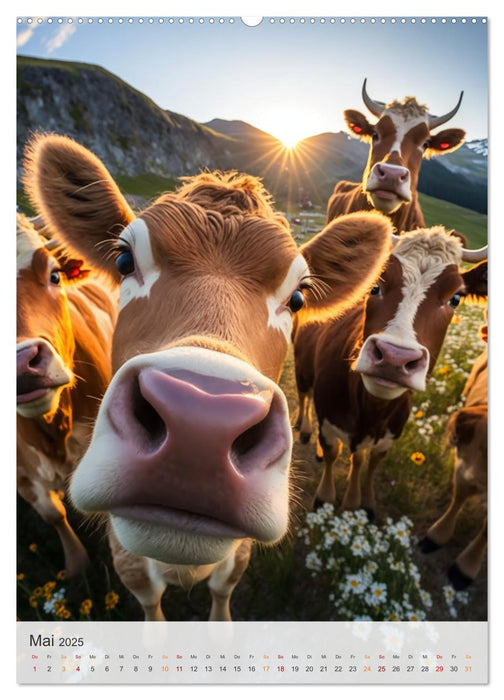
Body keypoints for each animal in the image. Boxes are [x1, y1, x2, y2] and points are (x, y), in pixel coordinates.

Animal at [294, 224, 486, 516]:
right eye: (375, 285)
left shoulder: (391, 434)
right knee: (304, 394)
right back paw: (303, 428)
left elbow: (368, 461)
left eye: (455, 298)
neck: (372, 411)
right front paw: (327, 496)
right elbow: (334, 453)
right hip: (302, 364)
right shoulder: (328, 417)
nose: (395, 358)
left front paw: (361, 501)